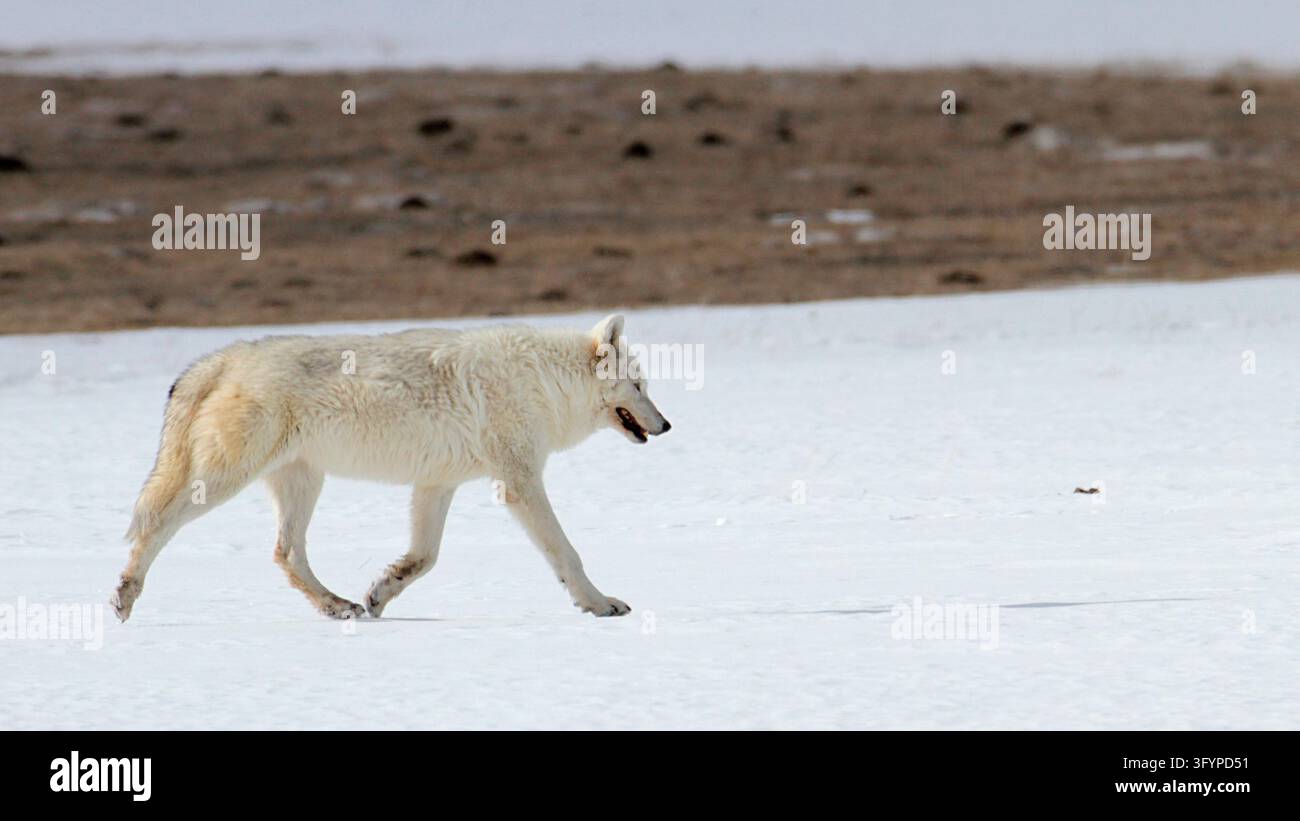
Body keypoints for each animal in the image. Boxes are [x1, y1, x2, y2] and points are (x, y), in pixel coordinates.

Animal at [111, 314, 670, 621]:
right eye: (640, 386)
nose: (666, 425)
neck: (544, 381)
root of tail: (222, 358)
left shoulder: (437, 485)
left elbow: (424, 558)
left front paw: (380, 594)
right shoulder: (518, 482)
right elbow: (566, 554)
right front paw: (600, 604)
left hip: (303, 483)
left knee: (286, 554)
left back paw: (339, 606)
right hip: (226, 480)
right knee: (156, 526)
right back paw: (124, 596)